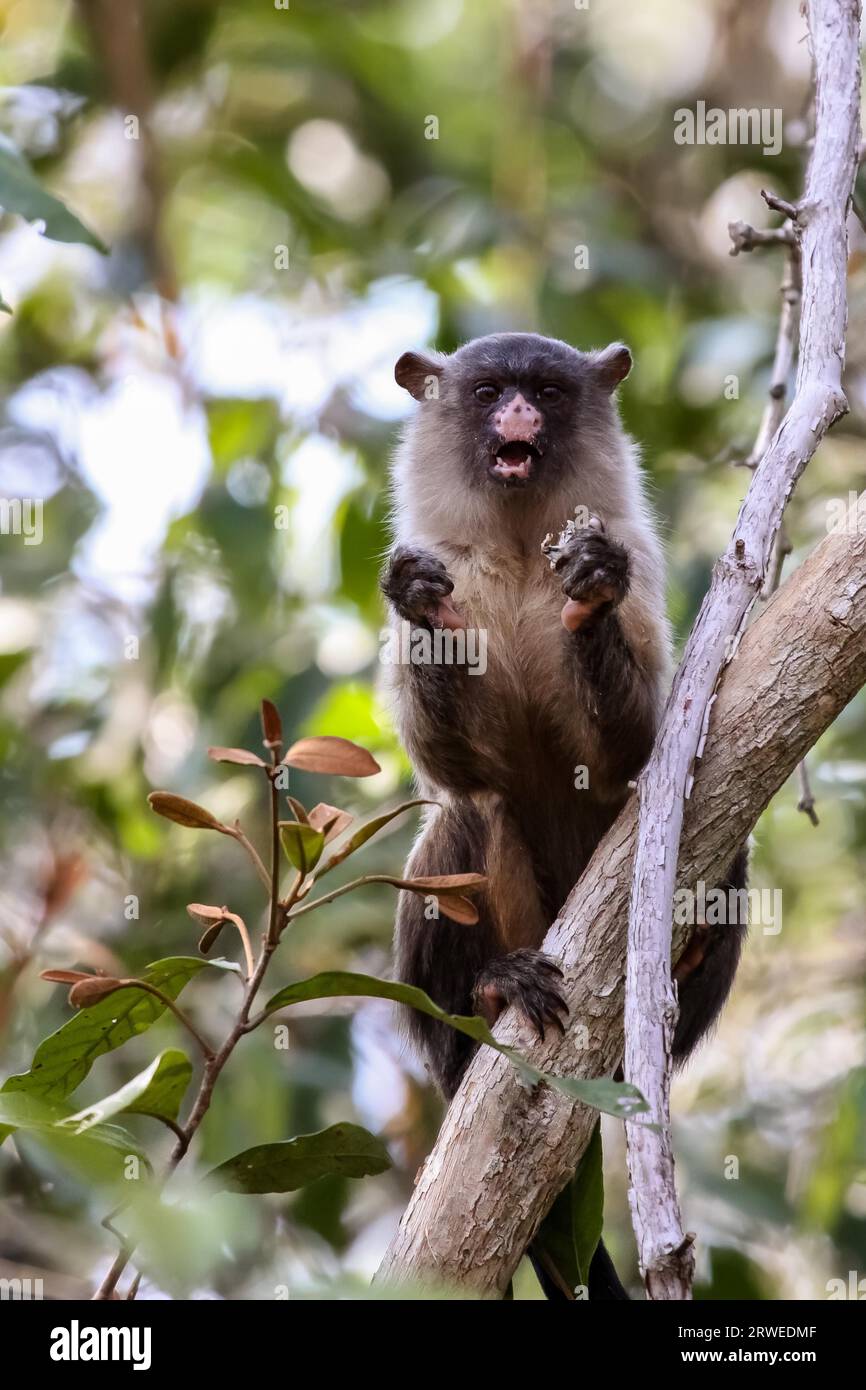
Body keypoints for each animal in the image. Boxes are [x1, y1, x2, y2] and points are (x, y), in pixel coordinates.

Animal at [383, 330, 750, 1295]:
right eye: (488, 392)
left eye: (545, 391)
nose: (519, 415)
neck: (514, 552)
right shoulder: (443, 559)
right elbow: (452, 769)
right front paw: (423, 603)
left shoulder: (640, 557)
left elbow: (635, 753)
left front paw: (589, 595)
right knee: (467, 819)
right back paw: (486, 992)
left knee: (731, 860)